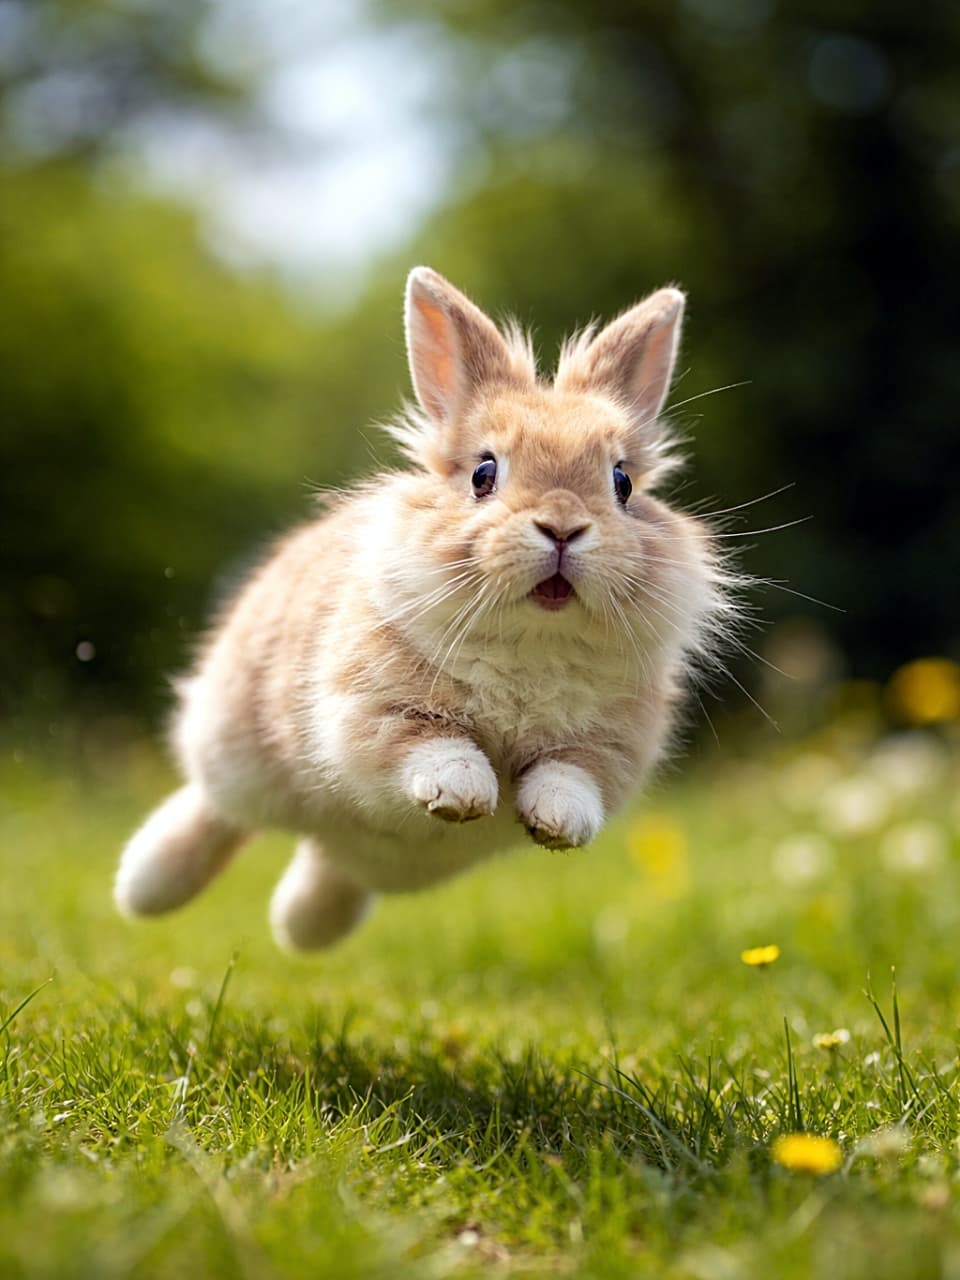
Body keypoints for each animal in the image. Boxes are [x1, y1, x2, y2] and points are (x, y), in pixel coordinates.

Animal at [114, 266, 731, 951]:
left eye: (621, 483)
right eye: (484, 474)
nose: (563, 528)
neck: (532, 641)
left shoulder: (611, 748)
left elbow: (572, 776)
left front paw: (556, 824)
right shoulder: (367, 709)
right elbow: (431, 743)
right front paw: (464, 796)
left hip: (361, 858)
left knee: (325, 865)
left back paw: (299, 930)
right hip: (237, 750)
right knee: (215, 812)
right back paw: (141, 889)